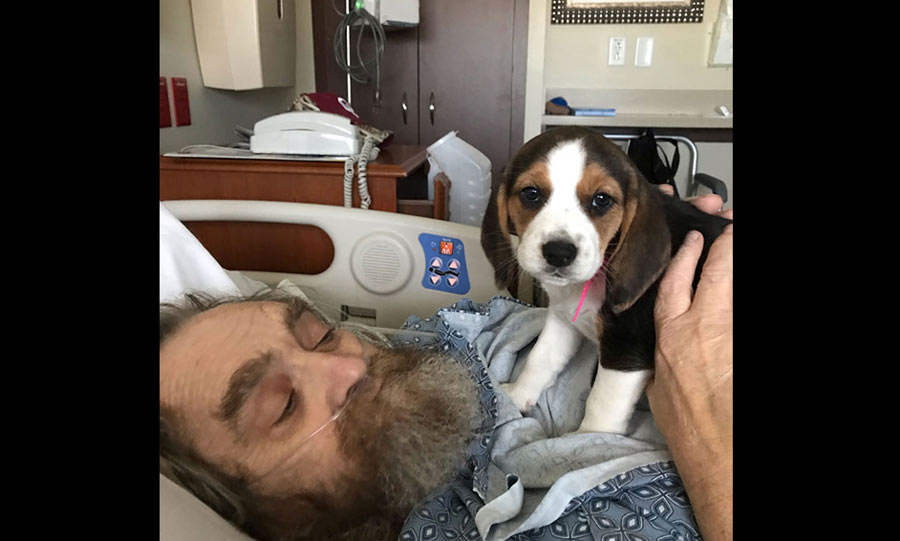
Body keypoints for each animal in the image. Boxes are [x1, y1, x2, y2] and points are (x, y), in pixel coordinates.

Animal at [482, 126, 728, 434]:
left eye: (602, 200)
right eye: (531, 194)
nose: (559, 253)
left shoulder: (625, 348)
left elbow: (602, 404)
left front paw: (586, 439)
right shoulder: (563, 319)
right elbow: (541, 357)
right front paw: (517, 395)